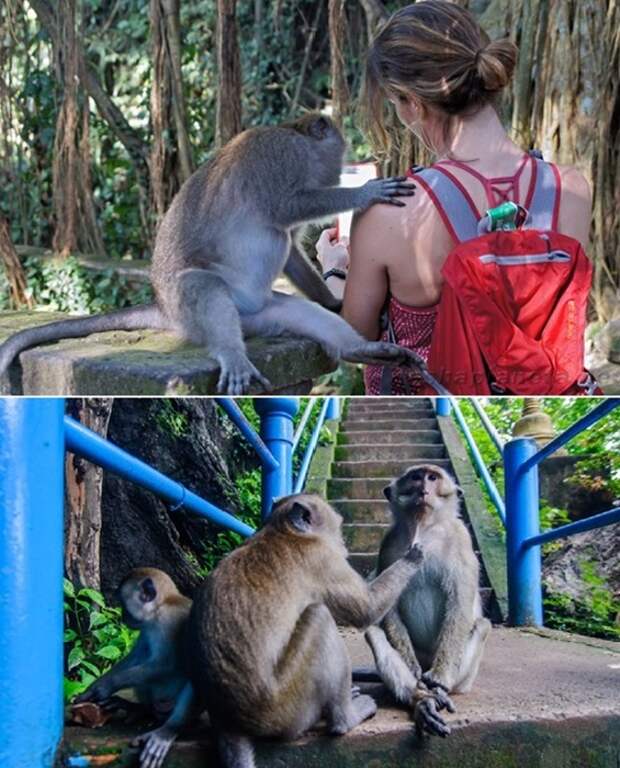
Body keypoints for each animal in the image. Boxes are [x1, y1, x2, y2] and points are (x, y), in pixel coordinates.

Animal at [0, 112, 426, 396]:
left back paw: (362, 348)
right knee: (202, 286)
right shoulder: (280, 156)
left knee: (300, 312)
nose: (342, 171)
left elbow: (289, 247)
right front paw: (364, 192)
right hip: (191, 310)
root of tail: (164, 309)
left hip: (265, 315)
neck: (293, 135)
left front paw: (333, 301)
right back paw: (232, 354)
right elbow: (285, 208)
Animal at [75, 568, 196, 768]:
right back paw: (140, 709)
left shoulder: (169, 622)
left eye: (124, 604)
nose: (123, 616)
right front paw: (95, 686)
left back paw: (169, 730)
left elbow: (165, 664)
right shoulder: (147, 627)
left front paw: (105, 687)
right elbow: (137, 656)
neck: (161, 606)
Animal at [186, 492, 424, 768]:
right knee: (320, 616)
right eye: (338, 527)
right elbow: (367, 609)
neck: (281, 530)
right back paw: (346, 718)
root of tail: (227, 720)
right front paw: (412, 557)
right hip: (287, 708)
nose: (343, 544)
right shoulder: (323, 560)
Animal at [364, 464, 490, 740]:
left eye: (432, 477)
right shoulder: (388, 543)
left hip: (463, 677)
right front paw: (413, 678)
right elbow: (390, 608)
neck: (424, 527)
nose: (423, 488)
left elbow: (459, 604)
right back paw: (421, 699)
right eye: (415, 477)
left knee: (482, 625)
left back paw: (439, 691)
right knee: (374, 633)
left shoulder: (461, 537)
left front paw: (441, 680)